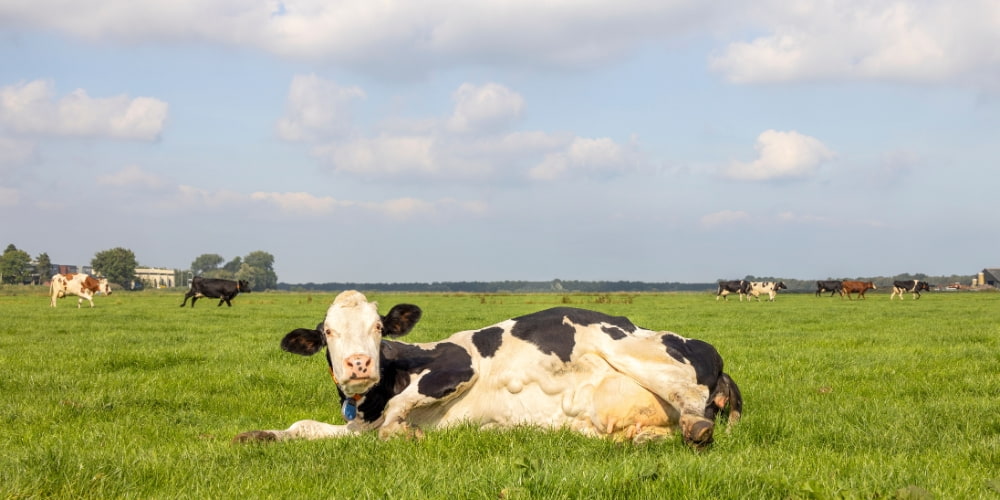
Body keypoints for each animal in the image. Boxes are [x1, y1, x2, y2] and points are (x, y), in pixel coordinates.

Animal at [234, 290, 742, 449]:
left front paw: (408, 433)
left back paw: (696, 425)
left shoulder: (457, 367)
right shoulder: (356, 425)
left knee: (694, 408)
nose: (358, 363)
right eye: (328, 332)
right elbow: (303, 427)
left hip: (635, 349)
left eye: (378, 327)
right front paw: (258, 434)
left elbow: (399, 415)